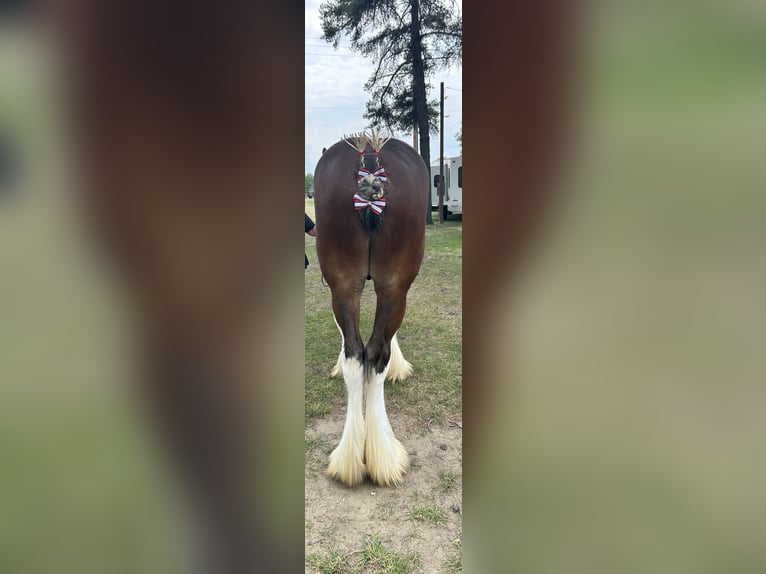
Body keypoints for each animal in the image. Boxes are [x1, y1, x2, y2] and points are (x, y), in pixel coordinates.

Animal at [314, 133, 432, 488]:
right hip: (394, 285)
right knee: (376, 354)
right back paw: (385, 457)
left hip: (344, 283)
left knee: (357, 354)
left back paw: (350, 461)